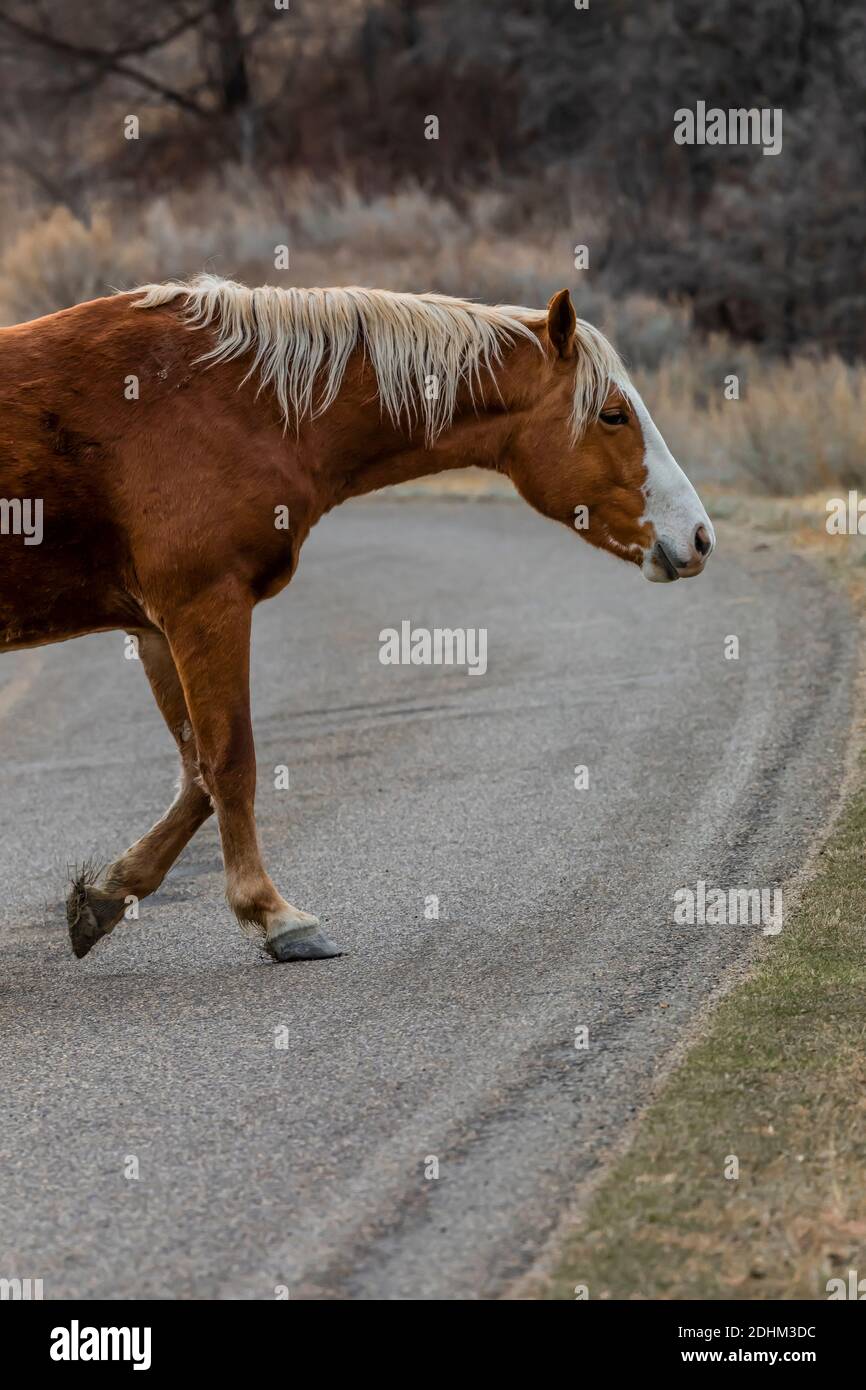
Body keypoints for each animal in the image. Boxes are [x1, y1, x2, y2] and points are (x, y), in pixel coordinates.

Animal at [0, 276, 714, 963]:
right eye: (613, 415)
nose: (700, 537)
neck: (231, 401)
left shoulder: (156, 629)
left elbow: (197, 775)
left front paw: (106, 895)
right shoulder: (205, 609)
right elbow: (232, 762)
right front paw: (276, 916)